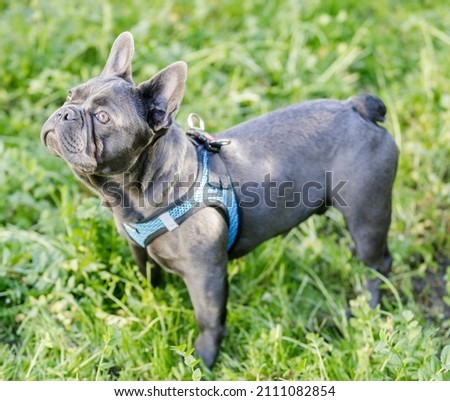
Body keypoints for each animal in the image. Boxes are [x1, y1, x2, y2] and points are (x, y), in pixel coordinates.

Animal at [41, 32, 398, 368]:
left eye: (103, 118)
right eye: (70, 95)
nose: (66, 113)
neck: (139, 192)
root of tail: (356, 108)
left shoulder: (206, 274)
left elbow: (208, 319)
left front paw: (203, 359)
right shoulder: (137, 249)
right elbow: (149, 277)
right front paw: (151, 303)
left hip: (367, 215)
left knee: (378, 264)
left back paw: (368, 308)